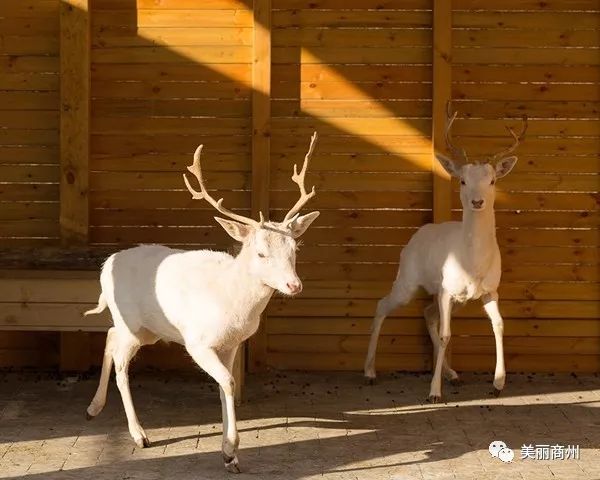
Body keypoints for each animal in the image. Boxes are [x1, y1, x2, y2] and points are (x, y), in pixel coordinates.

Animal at [83, 132, 324, 472]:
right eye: (261, 252)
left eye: (294, 249)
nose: (294, 285)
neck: (232, 304)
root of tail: (106, 266)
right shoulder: (197, 342)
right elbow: (228, 382)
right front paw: (230, 450)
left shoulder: (232, 344)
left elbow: (225, 387)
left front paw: (229, 455)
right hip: (131, 324)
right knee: (120, 363)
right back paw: (139, 435)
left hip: (143, 328)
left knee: (109, 336)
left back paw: (93, 408)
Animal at [364, 108, 528, 402]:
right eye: (462, 180)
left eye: (492, 180)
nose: (477, 201)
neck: (473, 264)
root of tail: (417, 235)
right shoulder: (446, 290)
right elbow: (445, 335)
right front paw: (434, 392)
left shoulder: (490, 290)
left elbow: (498, 325)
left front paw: (498, 383)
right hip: (407, 280)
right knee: (384, 304)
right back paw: (370, 372)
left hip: (457, 298)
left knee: (428, 313)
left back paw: (453, 374)